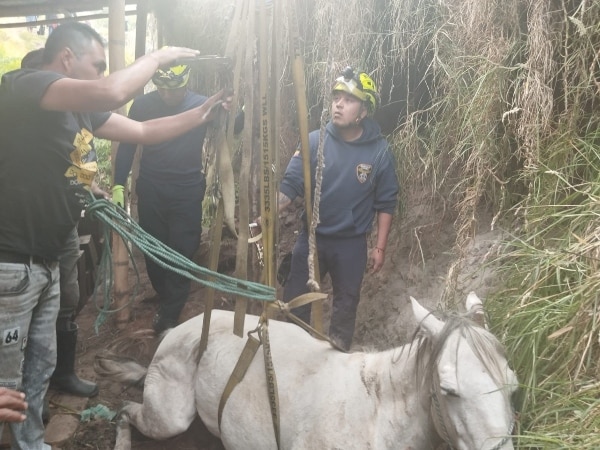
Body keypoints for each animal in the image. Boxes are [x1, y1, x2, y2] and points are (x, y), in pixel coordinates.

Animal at [96, 294, 516, 448]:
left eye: (512, 387)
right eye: (448, 390)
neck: (380, 423)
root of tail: (177, 330)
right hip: (170, 417)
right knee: (127, 412)